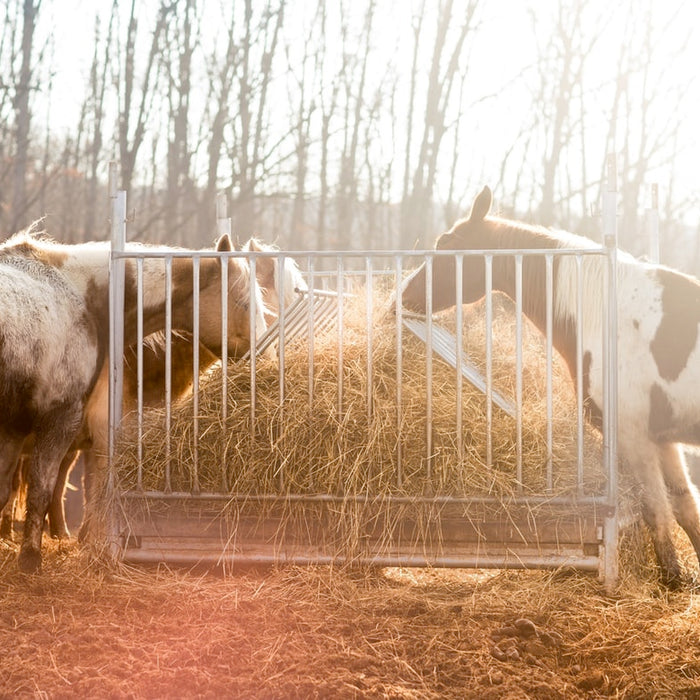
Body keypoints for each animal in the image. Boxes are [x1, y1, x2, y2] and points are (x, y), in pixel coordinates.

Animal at [0, 227, 260, 572]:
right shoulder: (61, 419)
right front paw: (30, 559)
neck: (82, 299)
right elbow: (42, 489)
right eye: (243, 304)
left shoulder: (13, 427)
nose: (266, 353)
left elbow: (5, 491)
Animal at [402, 185, 700, 584]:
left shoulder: (634, 436)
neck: (605, 315)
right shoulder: (663, 439)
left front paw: (673, 577)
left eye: (448, 245)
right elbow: (684, 506)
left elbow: (658, 511)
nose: (405, 295)